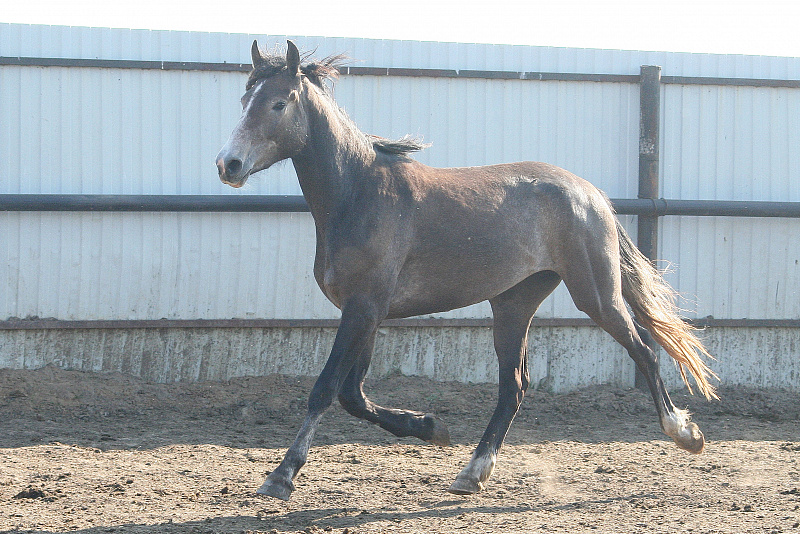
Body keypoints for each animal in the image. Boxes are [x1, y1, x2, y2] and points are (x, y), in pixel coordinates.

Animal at [216, 40, 718, 501]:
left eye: (279, 103)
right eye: (245, 98)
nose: (228, 164)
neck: (357, 194)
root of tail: (592, 195)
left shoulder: (363, 308)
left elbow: (325, 390)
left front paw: (280, 477)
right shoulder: (367, 313)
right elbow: (352, 395)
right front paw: (431, 427)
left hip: (596, 295)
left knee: (644, 352)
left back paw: (684, 433)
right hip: (513, 303)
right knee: (514, 387)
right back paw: (473, 471)